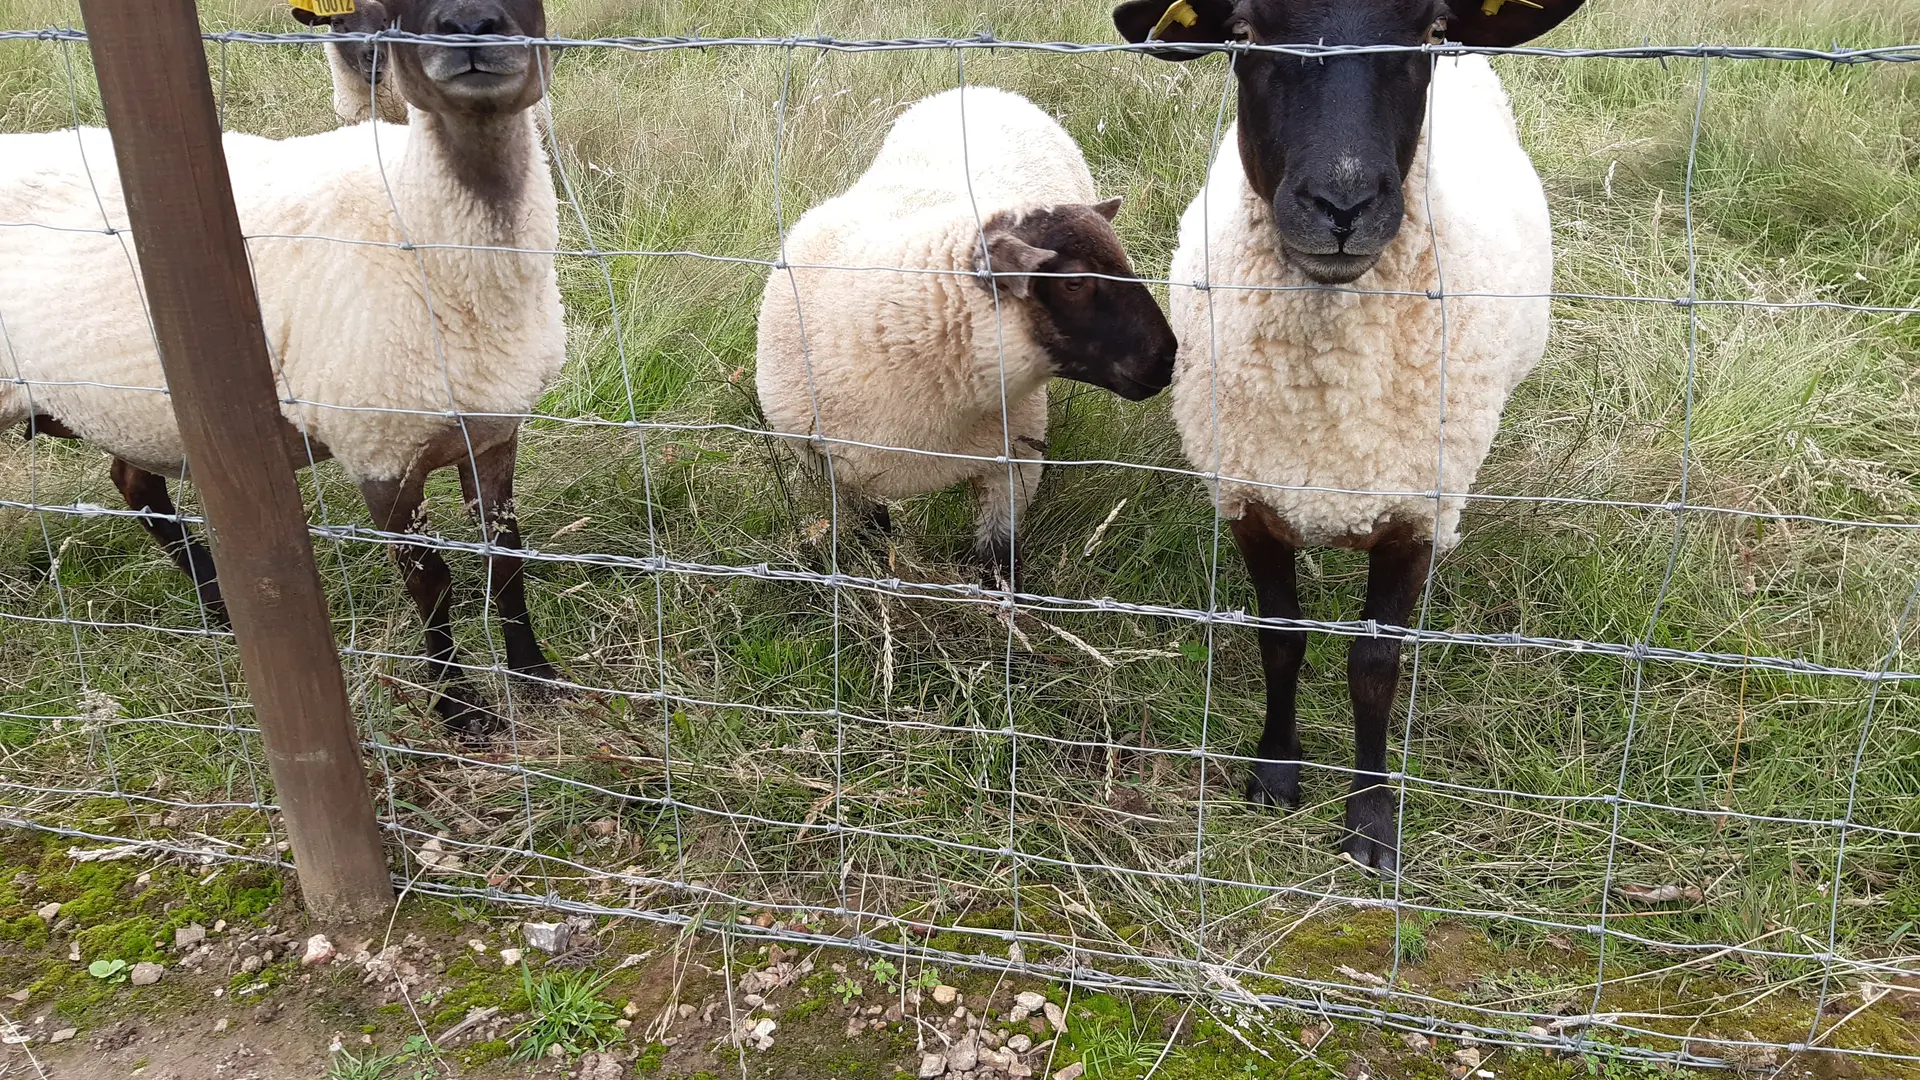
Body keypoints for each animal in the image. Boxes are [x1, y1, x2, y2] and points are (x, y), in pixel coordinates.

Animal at [0, 0, 564, 738]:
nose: (470, 30)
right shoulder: (379, 446)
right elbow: (430, 583)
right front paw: (458, 709)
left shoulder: (493, 429)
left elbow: (508, 559)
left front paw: (535, 676)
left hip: (128, 403)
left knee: (136, 485)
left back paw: (218, 608)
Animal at [754, 86, 1178, 581]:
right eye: (1073, 283)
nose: (1168, 357)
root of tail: (982, 90)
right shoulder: (830, 465)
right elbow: (875, 532)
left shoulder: (1013, 466)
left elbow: (998, 560)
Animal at [1114, 0, 1588, 870]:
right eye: (1243, 32)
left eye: (1429, 29)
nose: (1342, 207)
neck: (1330, 404)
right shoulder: (1253, 498)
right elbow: (1281, 639)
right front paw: (1275, 774)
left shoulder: (1413, 512)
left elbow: (1374, 666)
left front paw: (1370, 818)